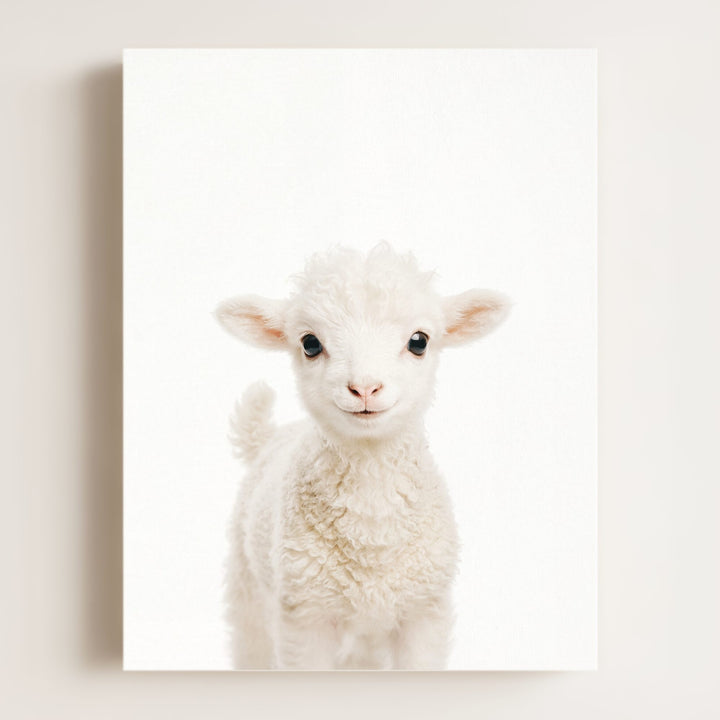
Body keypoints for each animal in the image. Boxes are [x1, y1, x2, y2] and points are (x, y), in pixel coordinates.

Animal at [215, 243, 510, 670]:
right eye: (310, 343)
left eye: (419, 341)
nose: (365, 388)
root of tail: (269, 436)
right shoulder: (305, 617)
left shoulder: (424, 611)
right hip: (249, 588)